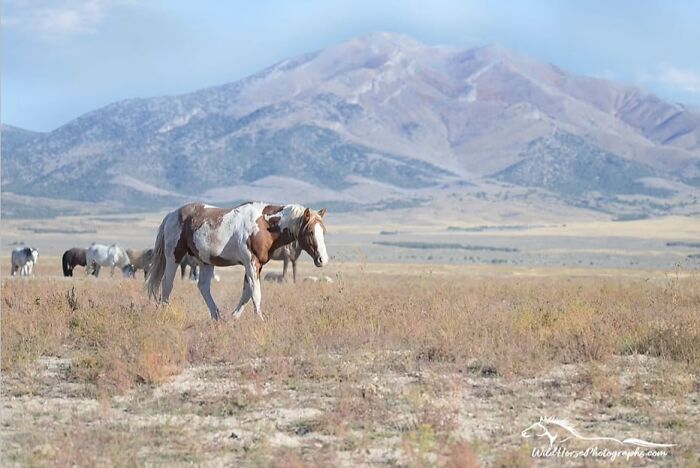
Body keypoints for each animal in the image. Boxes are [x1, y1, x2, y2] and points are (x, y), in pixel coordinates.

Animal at [146, 202, 328, 320]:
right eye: (310, 231)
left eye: (323, 231)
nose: (322, 259)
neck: (264, 225)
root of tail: (172, 215)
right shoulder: (251, 263)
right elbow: (255, 293)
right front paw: (259, 320)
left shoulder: (257, 266)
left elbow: (247, 293)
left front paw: (234, 317)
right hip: (174, 257)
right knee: (167, 284)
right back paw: (165, 311)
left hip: (206, 262)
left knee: (203, 287)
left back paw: (217, 316)